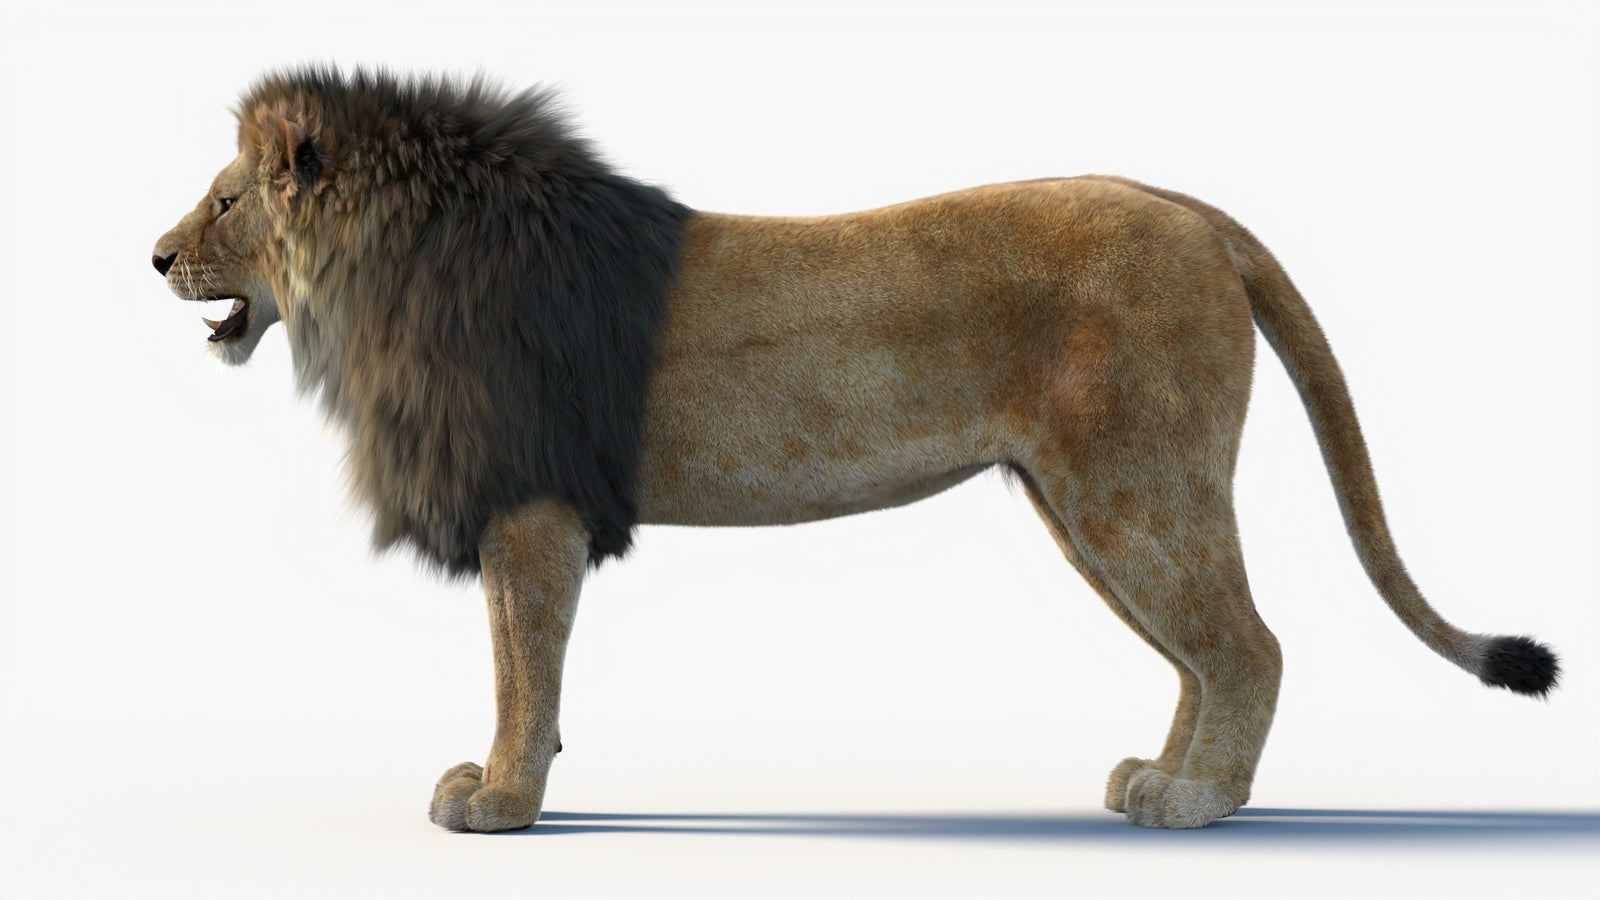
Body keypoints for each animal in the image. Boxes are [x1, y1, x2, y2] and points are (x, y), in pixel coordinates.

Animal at [152, 67, 1558, 832]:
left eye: (225, 199)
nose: (155, 256)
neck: (385, 277)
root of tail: (1191, 211)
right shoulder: (520, 510)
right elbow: (517, 665)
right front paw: (509, 784)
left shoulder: (531, 508)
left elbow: (522, 670)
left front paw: (499, 804)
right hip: (1084, 502)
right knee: (1204, 657)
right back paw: (1160, 776)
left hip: (1134, 488)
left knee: (1249, 645)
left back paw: (1197, 802)